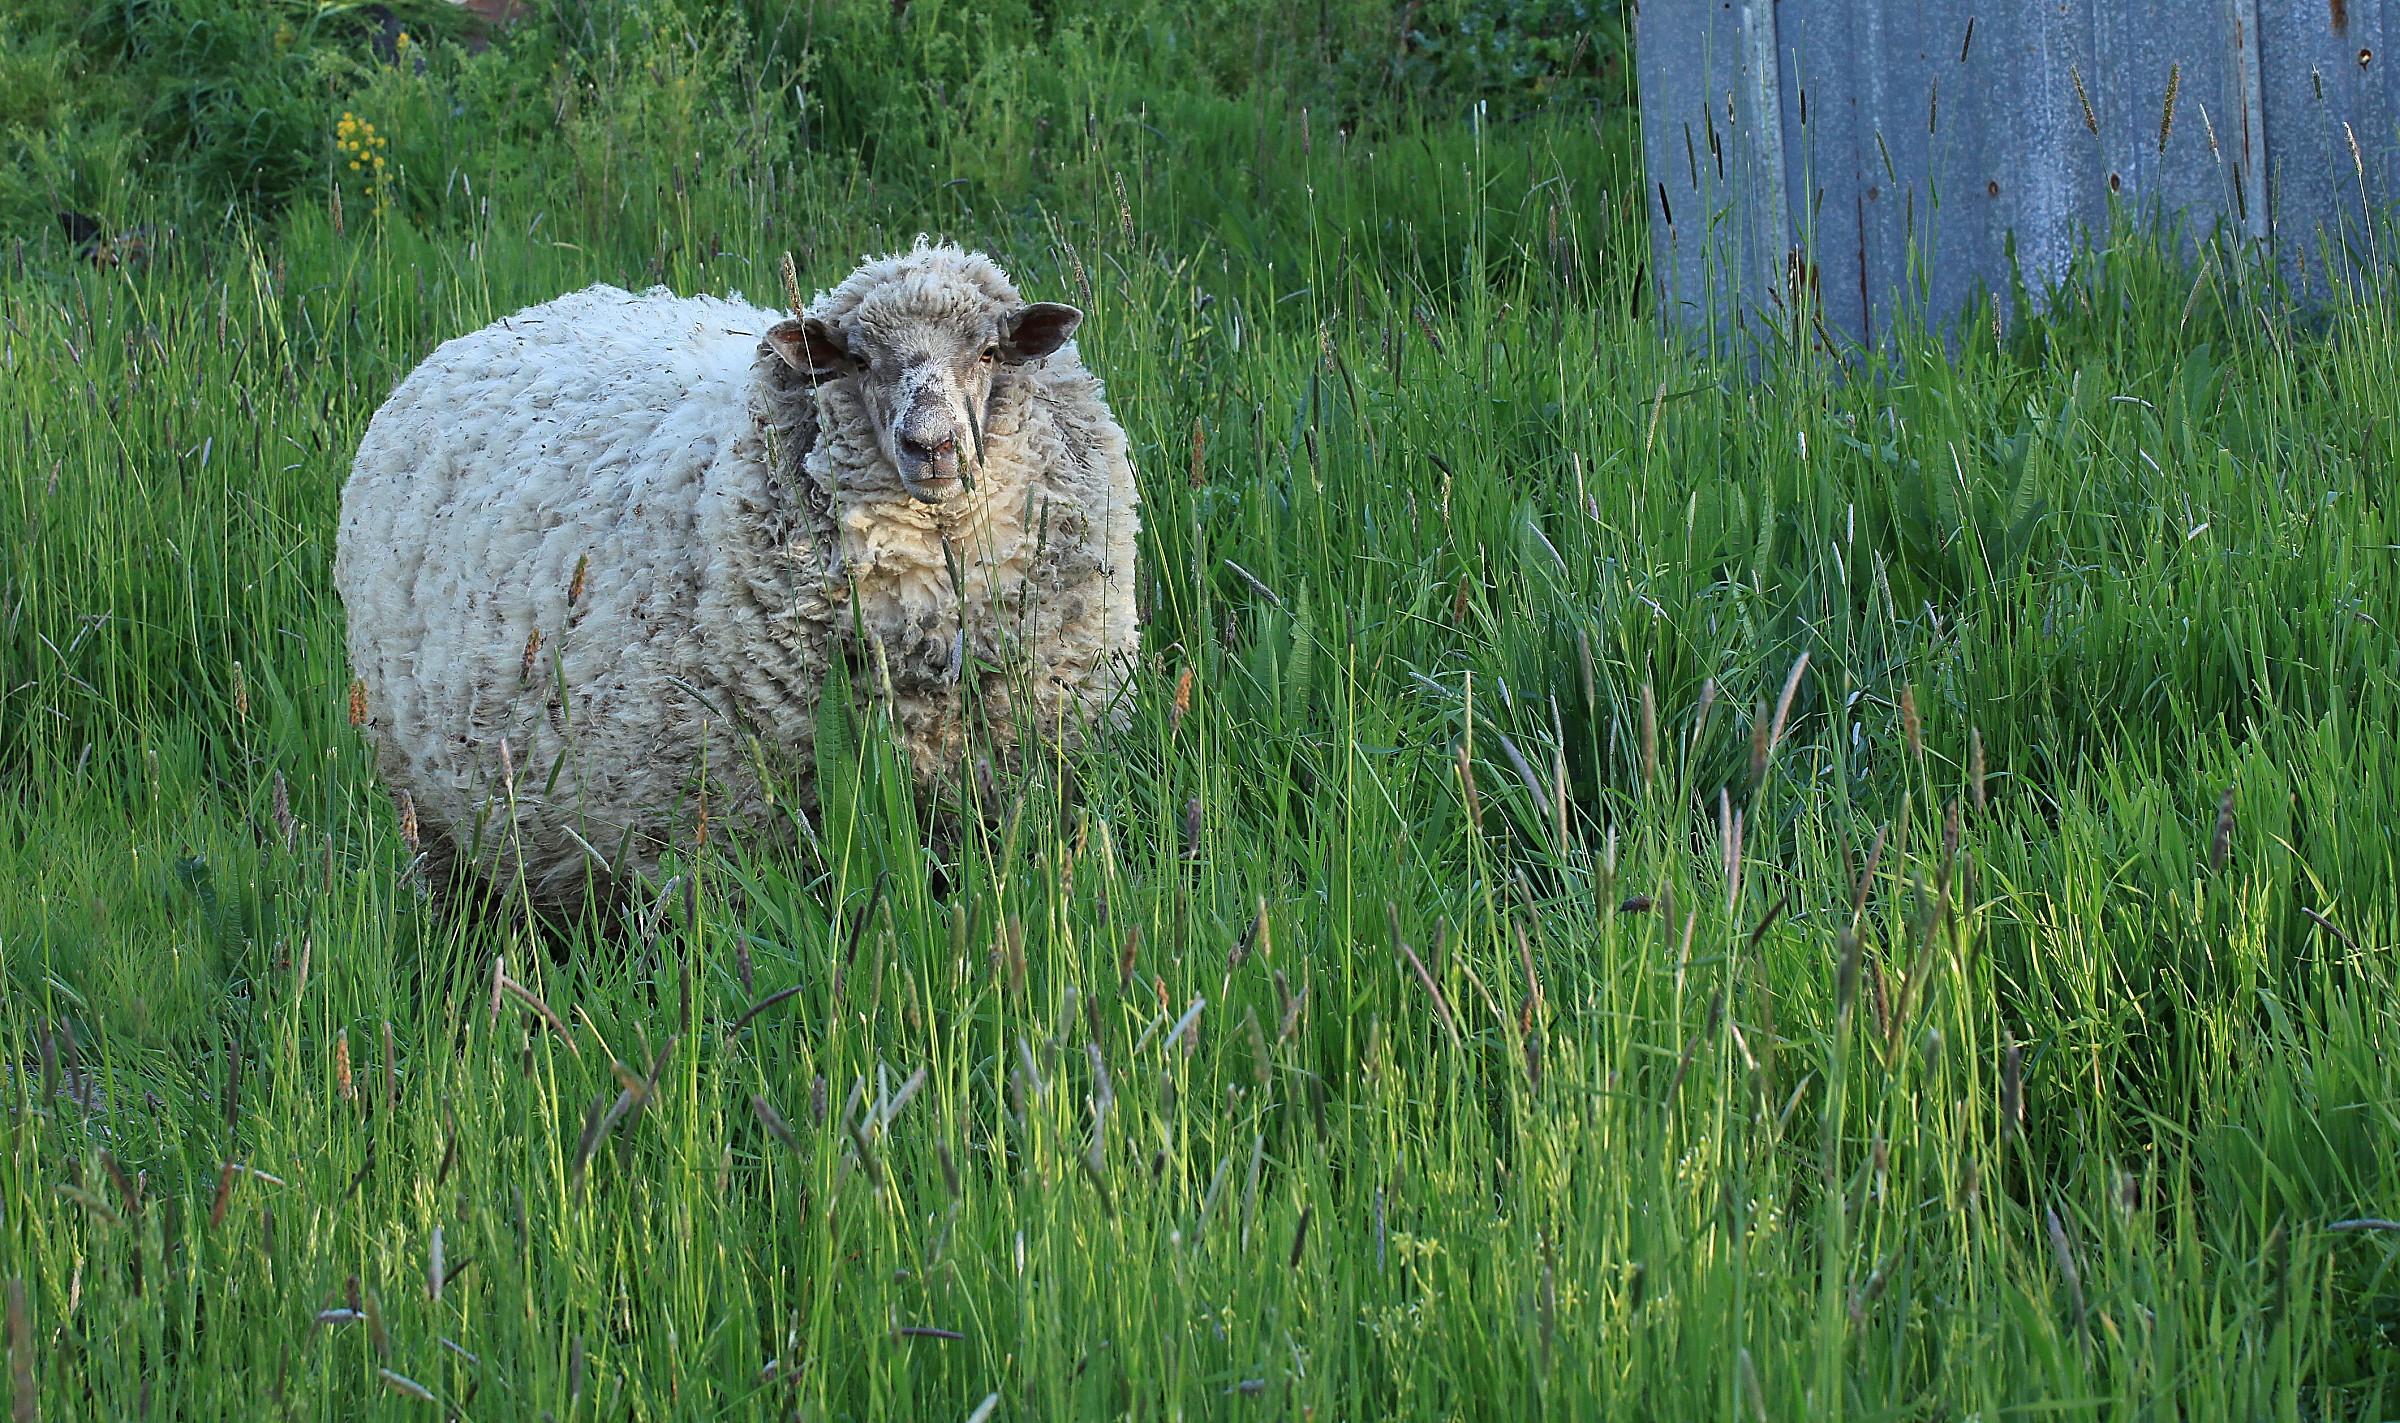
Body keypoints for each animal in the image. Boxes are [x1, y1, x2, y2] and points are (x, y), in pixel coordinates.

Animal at [336, 242, 1140, 903]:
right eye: (858, 360)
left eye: (991, 352)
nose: (932, 445)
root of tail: (489, 327)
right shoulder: (717, 835)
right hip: (426, 801)